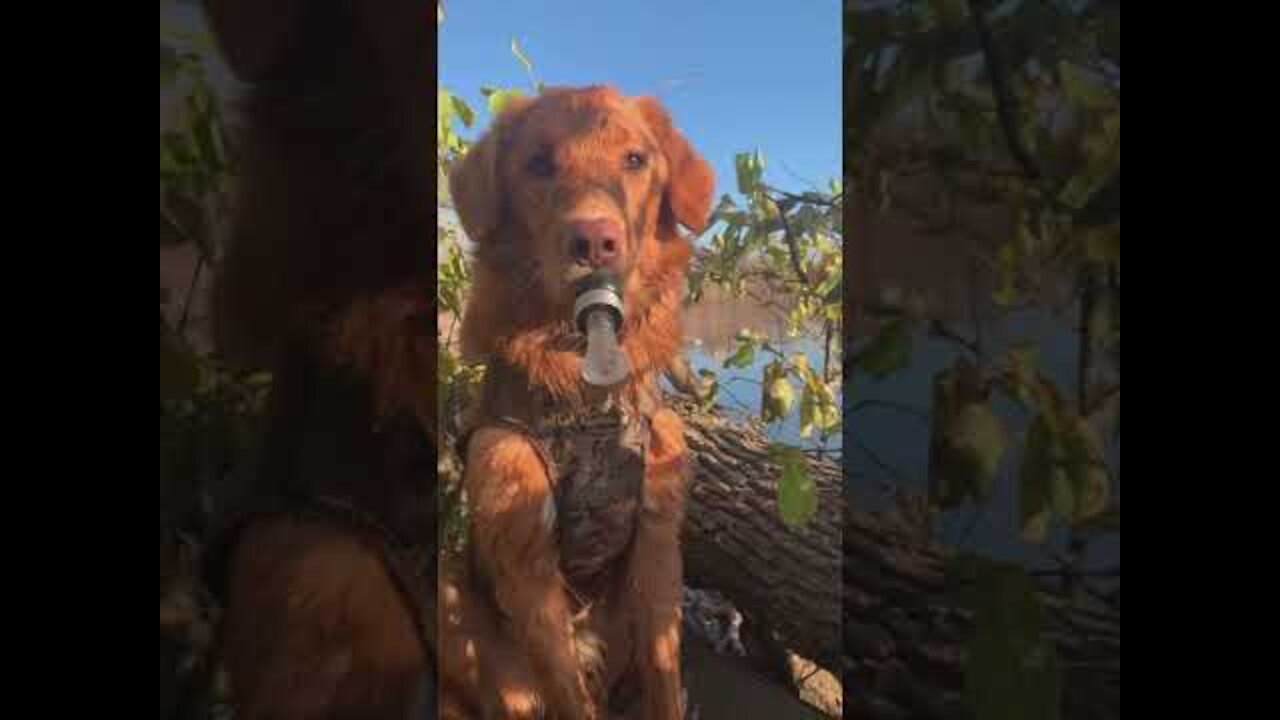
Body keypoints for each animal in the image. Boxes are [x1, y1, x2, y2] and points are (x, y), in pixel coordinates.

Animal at [440, 87, 716, 712]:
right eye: (538, 164)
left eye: (636, 159)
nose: (595, 240)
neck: (590, 407)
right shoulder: (527, 568)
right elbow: (568, 695)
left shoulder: (658, 548)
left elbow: (666, 680)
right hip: (458, 602)